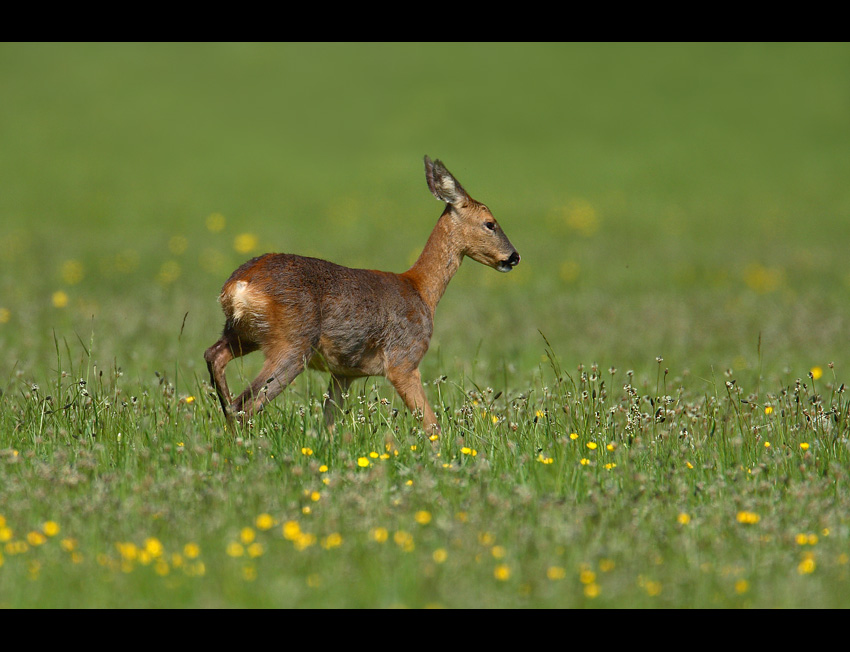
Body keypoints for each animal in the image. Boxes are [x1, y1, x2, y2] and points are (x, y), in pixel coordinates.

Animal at [205, 156, 516, 432]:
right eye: (490, 223)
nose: (514, 257)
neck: (421, 290)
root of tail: (239, 284)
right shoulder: (403, 360)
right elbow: (432, 425)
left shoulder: (344, 373)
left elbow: (330, 424)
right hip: (292, 344)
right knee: (244, 403)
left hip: (243, 333)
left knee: (215, 358)